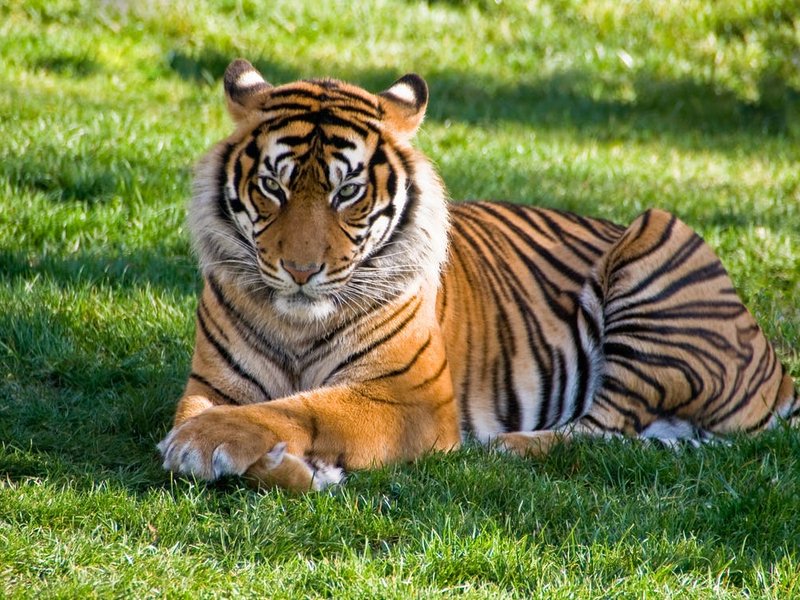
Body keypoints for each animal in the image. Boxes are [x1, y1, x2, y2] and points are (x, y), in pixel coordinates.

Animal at [158, 59, 799, 492]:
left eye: (347, 192)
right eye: (273, 186)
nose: (299, 271)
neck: (298, 324)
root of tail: (776, 367)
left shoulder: (409, 397)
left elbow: (301, 407)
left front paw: (203, 444)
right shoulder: (212, 383)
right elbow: (226, 412)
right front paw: (285, 466)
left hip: (658, 236)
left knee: (603, 428)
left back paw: (506, 447)